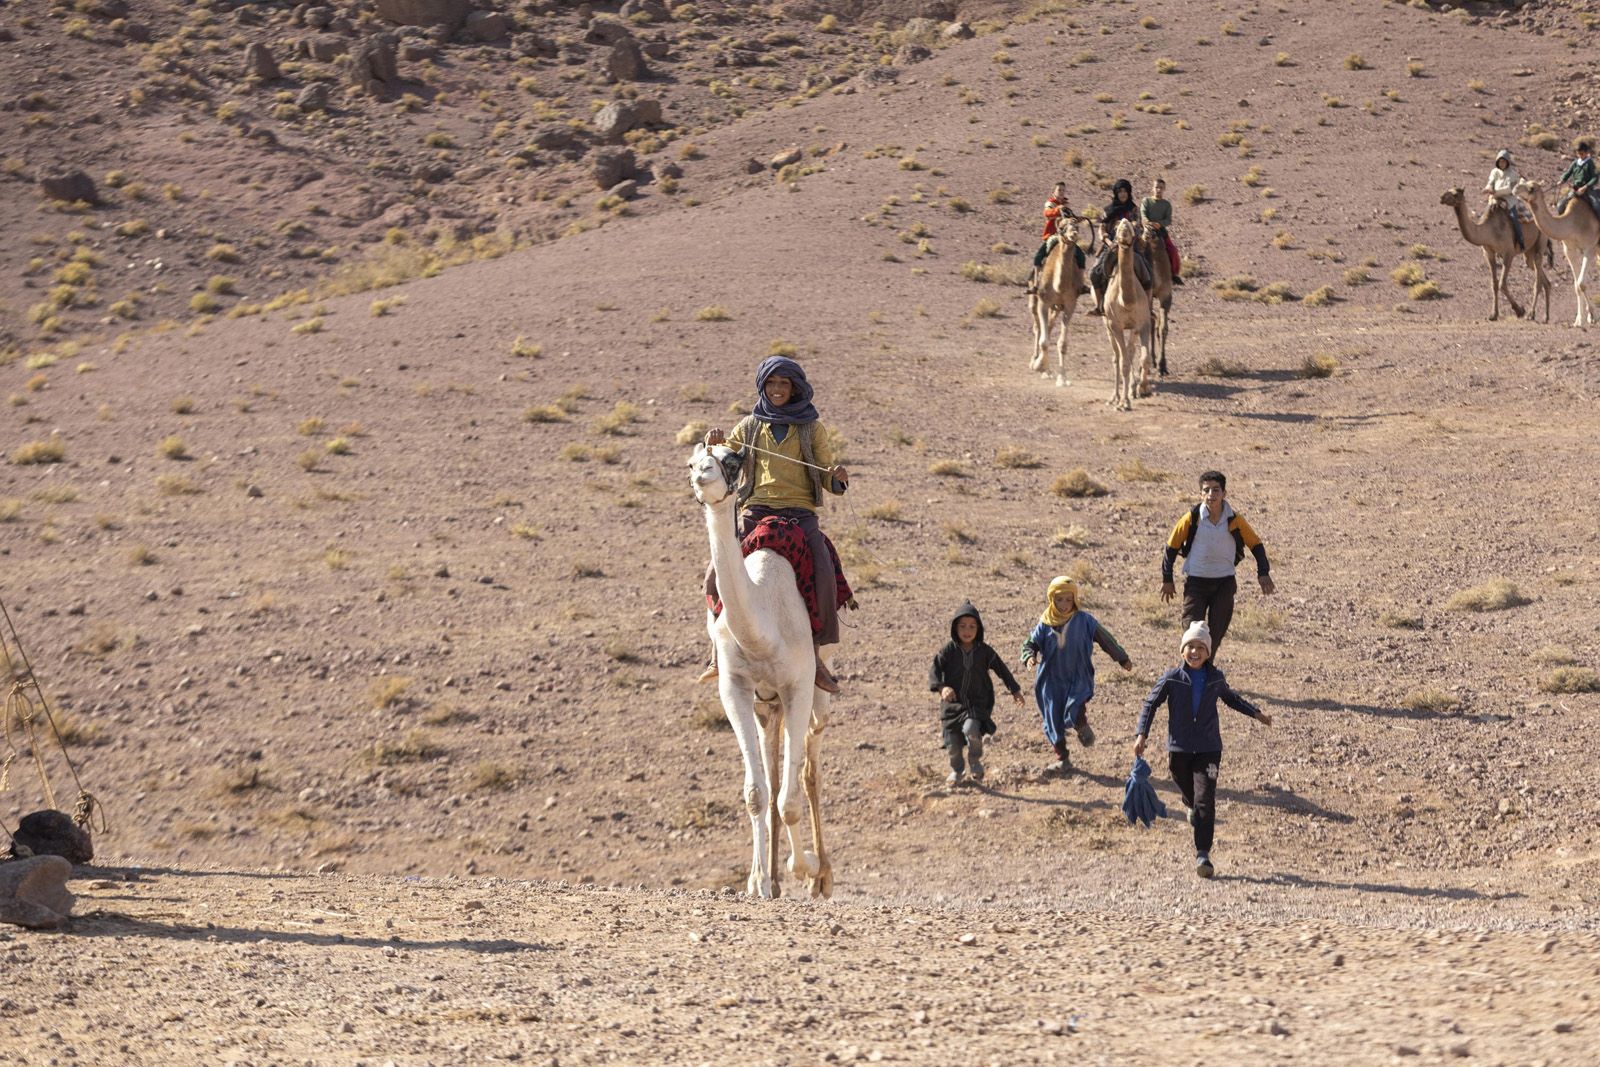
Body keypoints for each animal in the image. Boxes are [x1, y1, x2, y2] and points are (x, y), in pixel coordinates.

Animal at [688, 441, 838, 902]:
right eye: (691, 460)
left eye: (732, 460)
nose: (701, 474)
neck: (762, 627)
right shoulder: (735, 688)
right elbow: (757, 793)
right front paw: (758, 881)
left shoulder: (797, 687)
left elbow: (790, 800)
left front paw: (804, 868)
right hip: (764, 703)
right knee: (772, 775)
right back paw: (771, 874)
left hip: (818, 690)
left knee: (809, 770)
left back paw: (821, 875)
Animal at [1024, 214, 1088, 385]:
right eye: (1062, 227)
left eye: (1077, 225)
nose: (1073, 234)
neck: (1058, 284)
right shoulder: (1043, 302)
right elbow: (1044, 341)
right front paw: (1039, 366)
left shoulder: (1070, 304)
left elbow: (1062, 343)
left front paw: (1062, 378)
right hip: (1034, 298)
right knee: (1037, 328)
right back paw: (1035, 361)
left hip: (1056, 307)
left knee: (1050, 326)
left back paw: (1046, 368)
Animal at [1100, 219, 1152, 412]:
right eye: (1117, 229)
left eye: (1132, 227)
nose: (1123, 229)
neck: (1126, 301)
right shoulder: (1115, 325)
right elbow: (1123, 361)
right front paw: (1124, 402)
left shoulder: (1142, 323)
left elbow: (1144, 358)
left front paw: (1142, 388)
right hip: (1107, 324)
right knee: (1117, 357)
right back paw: (1114, 397)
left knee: (1129, 353)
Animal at [1440, 187, 1548, 323]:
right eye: (1447, 190)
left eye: (1455, 194)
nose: (1441, 198)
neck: (1488, 230)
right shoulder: (1489, 253)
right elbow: (1494, 284)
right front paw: (1493, 315)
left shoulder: (1508, 253)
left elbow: (1502, 284)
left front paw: (1519, 310)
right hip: (1528, 252)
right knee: (1542, 277)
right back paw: (1546, 316)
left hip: (1541, 239)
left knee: (1537, 278)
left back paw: (1531, 314)